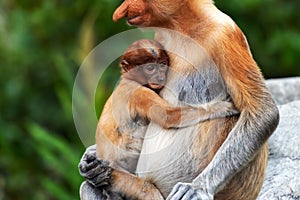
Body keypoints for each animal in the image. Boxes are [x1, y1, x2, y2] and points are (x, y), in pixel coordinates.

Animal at [92, 38, 238, 186]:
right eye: (150, 68)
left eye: (162, 65)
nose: (160, 77)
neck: (130, 79)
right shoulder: (138, 92)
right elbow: (168, 116)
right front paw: (220, 107)